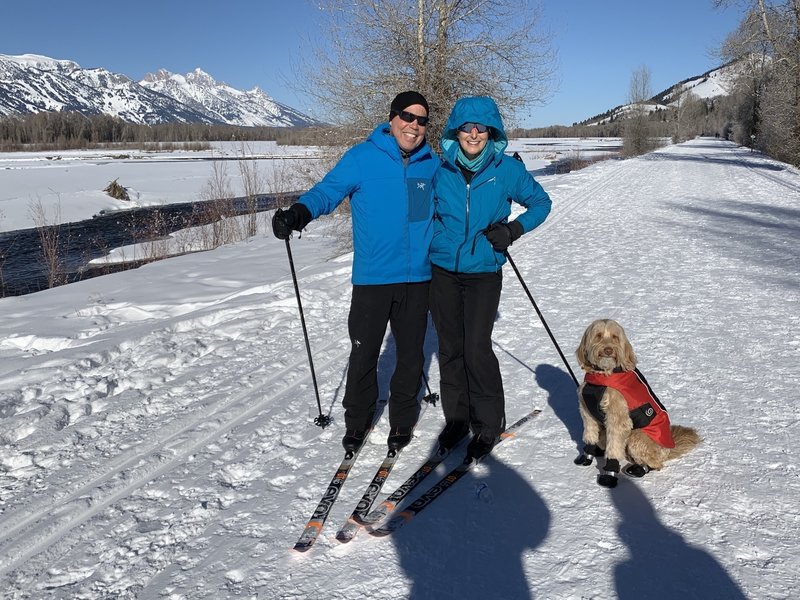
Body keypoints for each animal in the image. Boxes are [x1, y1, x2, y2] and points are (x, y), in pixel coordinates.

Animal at [576, 318, 700, 488]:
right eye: (599, 335)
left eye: (615, 337)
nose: (608, 350)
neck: (602, 376)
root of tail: (670, 447)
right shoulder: (587, 413)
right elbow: (590, 435)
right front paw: (587, 455)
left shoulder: (618, 418)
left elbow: (614, 447)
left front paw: (609, 473)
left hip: (637, 437)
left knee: (656, 464)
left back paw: (639, 468)